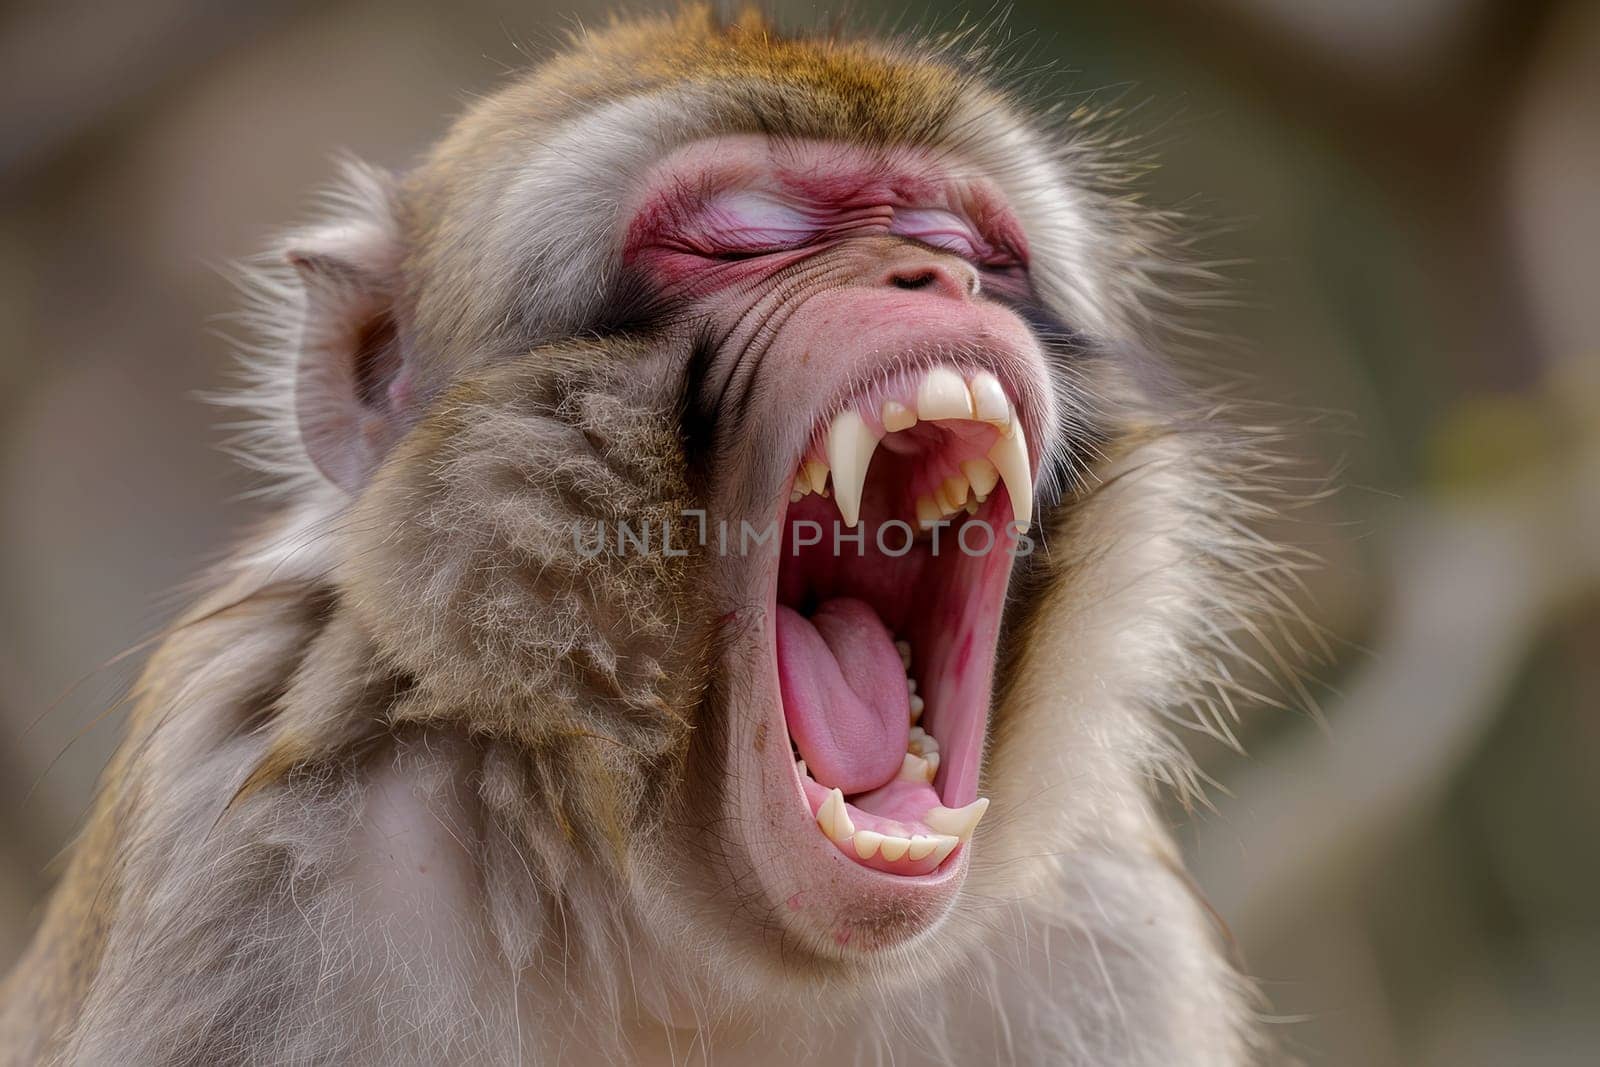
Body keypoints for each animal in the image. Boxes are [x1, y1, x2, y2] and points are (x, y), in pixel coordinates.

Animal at [0, 8, 1299, 1067]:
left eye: (968, 246)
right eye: (739, 239)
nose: (930, 279)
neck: (676, 929)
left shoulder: (1106, 933)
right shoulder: (259, 879)